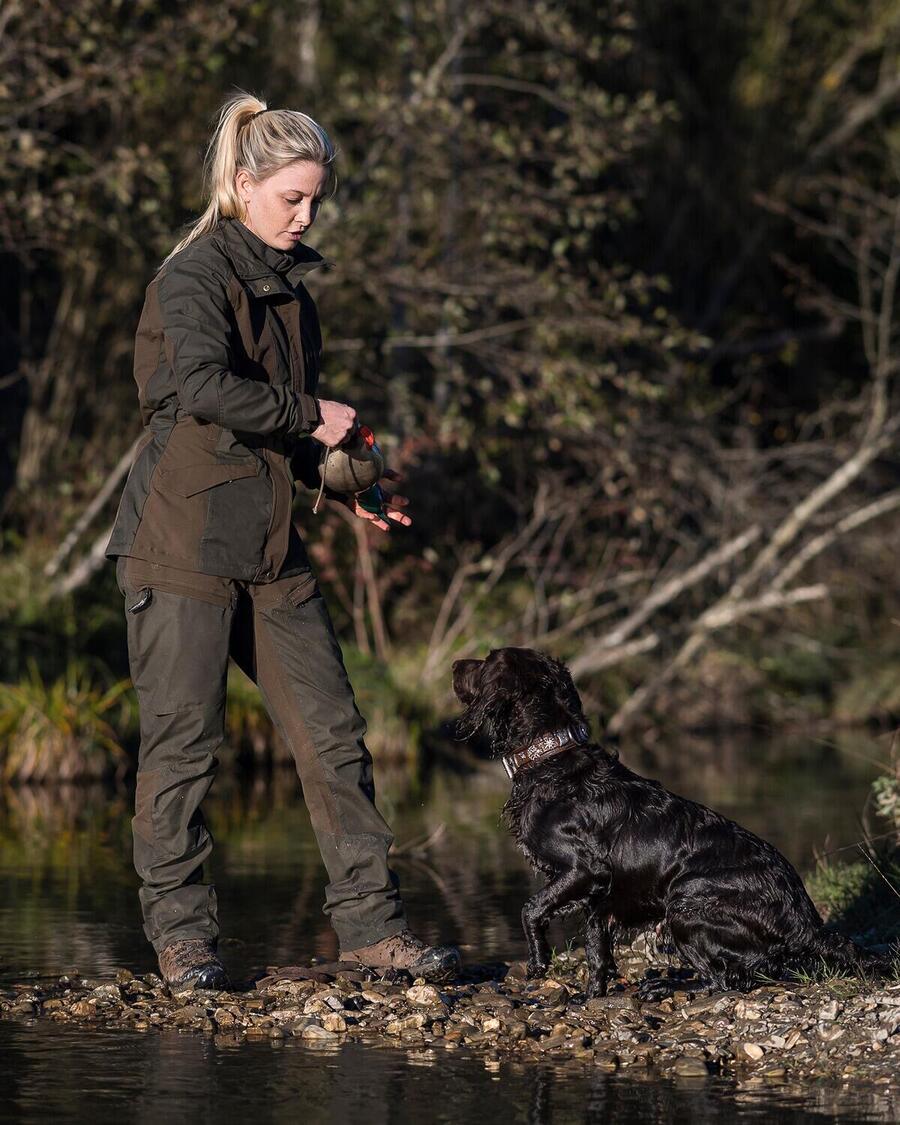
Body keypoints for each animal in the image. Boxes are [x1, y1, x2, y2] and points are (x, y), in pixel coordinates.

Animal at [453, 646, 886, 997]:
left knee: (726, 979)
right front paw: (591, 996)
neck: (551, 760)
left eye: (486, 661)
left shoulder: (583, 870)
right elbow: (596, 950)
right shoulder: (598, 898)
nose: (455, 664)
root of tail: (805, 923)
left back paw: (664, 986)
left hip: (687, 907)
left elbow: (530, 909)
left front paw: (539, 961)